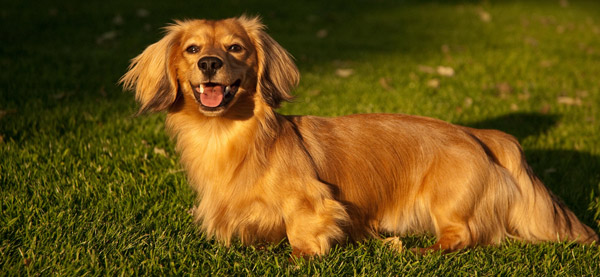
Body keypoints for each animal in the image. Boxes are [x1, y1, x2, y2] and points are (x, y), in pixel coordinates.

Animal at [120, 16, 596, 256]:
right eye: (193, 49)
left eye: (235, 48)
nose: (210, 64)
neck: (229, 136)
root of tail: (479, 136)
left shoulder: (314, 203)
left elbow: (301, 235)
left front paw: (299, 257)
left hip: (447, 202)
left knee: (460, 238)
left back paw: (414, 252)